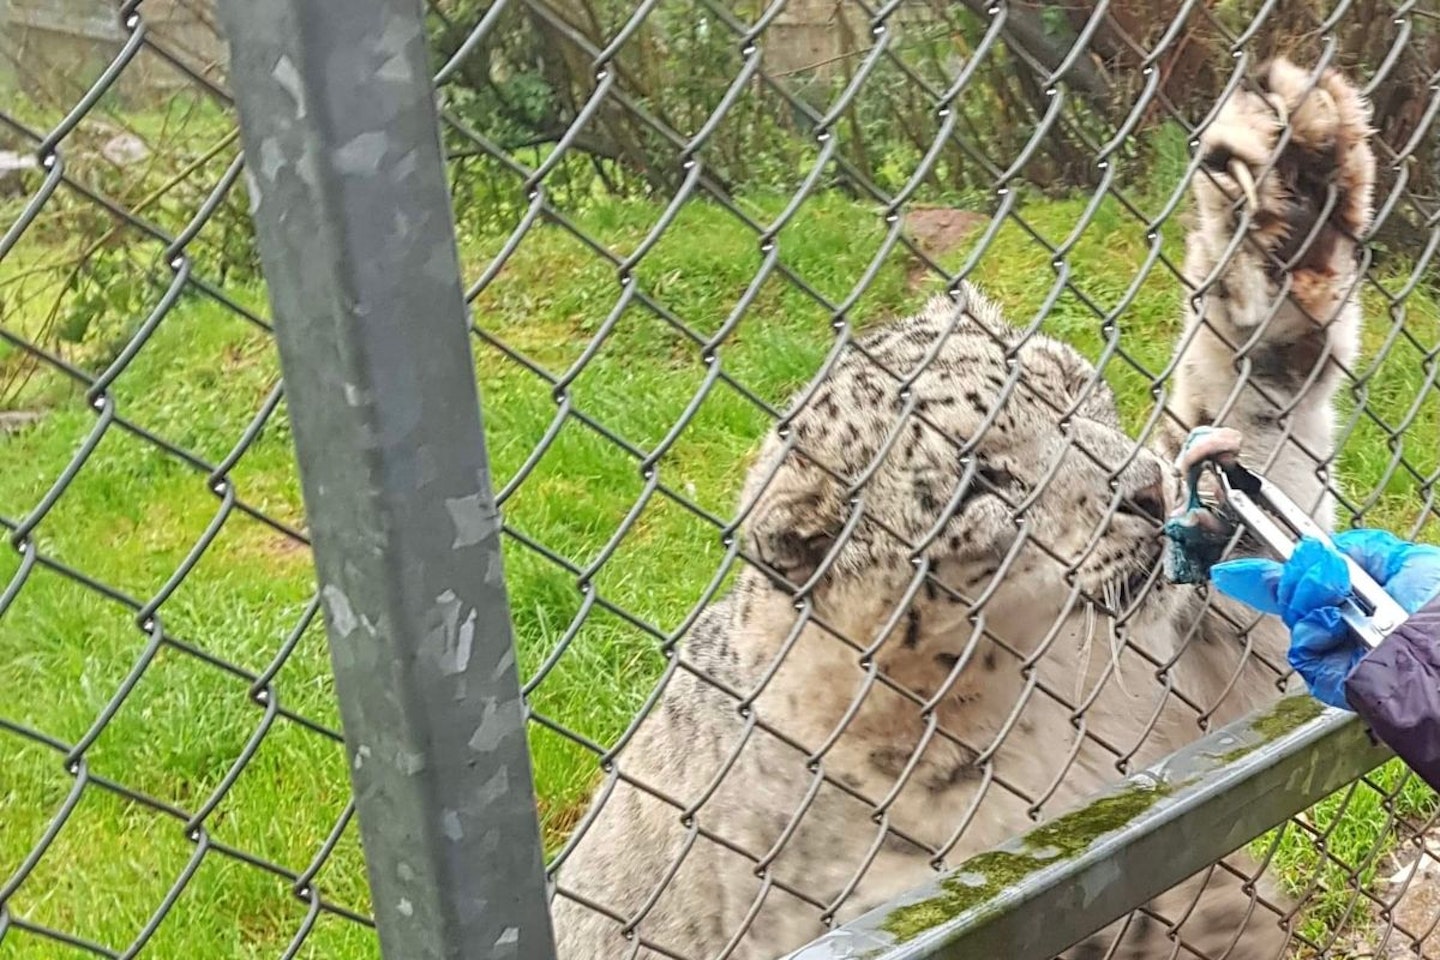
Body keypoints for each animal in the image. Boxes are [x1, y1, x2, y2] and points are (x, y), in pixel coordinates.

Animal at [547, 58, 1370, 960]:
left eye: (1067, 384)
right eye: (981, 481)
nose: (1147, 487)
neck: (1020, 709)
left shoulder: (1188, 679)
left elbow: (1261, 436)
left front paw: (1291, 181)